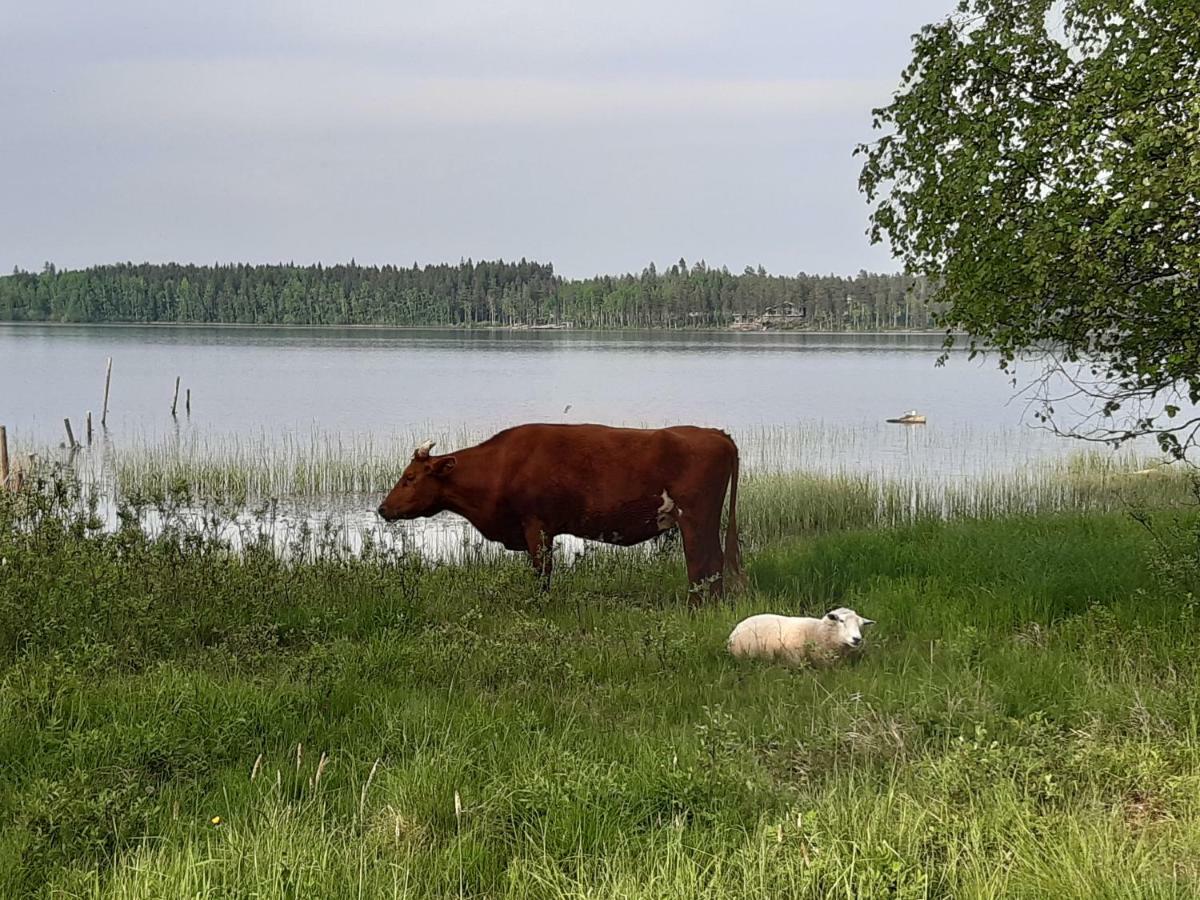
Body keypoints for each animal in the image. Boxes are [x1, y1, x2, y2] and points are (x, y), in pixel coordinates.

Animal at [379, 424, 744, 607]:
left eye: (409, 477)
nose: (383, 508)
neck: (501, 466)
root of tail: (714, 432)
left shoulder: (536, 526)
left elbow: (542, 572)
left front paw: (540, 606)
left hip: (695, 519)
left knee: (703, 562)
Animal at [724, 609, 878, 667]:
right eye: (841, 621)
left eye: (861, 625)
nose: (857, 639)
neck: (817, 631)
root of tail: (735, 629)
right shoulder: (794, 659)